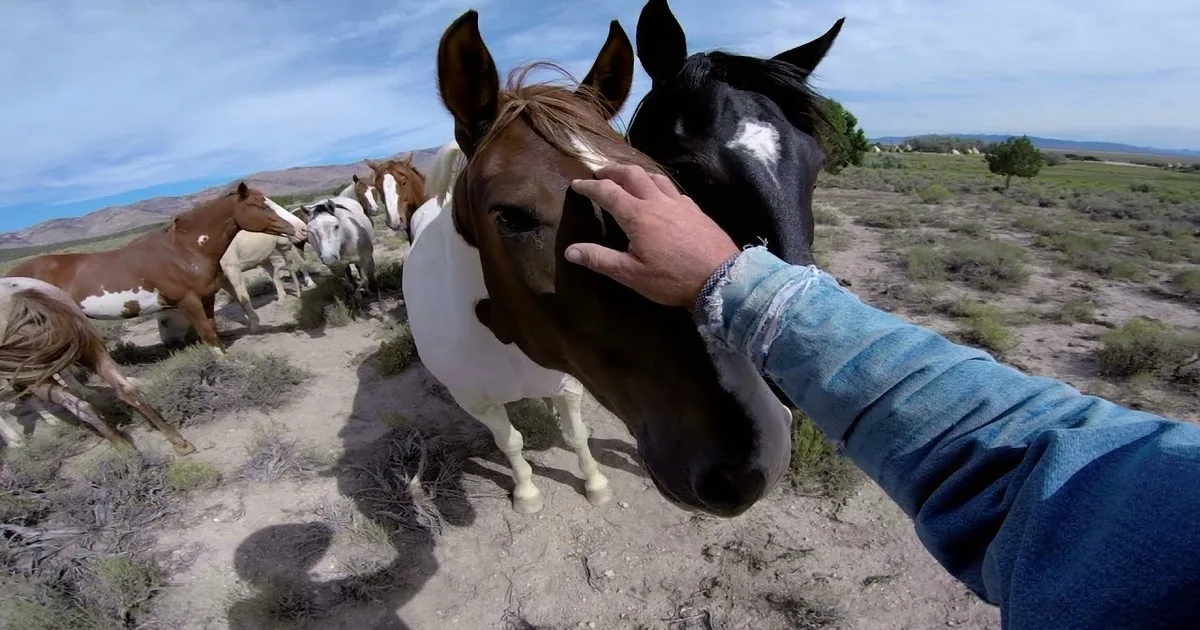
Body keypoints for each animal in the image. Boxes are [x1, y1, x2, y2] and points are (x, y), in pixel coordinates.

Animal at [0, 277, 195, 455]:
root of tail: (20, 299)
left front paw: (16, 442)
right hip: (93, 350)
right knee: (123, 391)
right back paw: (177, 442)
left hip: (37, 376)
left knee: (79, 405)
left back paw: (123, 449)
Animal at [6, 183, 307, 356]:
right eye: (260, 204)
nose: (302, 228)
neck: (182, 251)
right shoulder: (188, 301)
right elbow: (208, 334)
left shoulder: (206, 298)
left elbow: (213, 330)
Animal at [414, 11, 790, 517]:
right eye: (511, 216)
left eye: (664, 179)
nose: (753, 461)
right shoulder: (477, 402)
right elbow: (510, 443)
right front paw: (527, 492)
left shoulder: (569, 382)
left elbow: (575, 434)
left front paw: (594, 482)